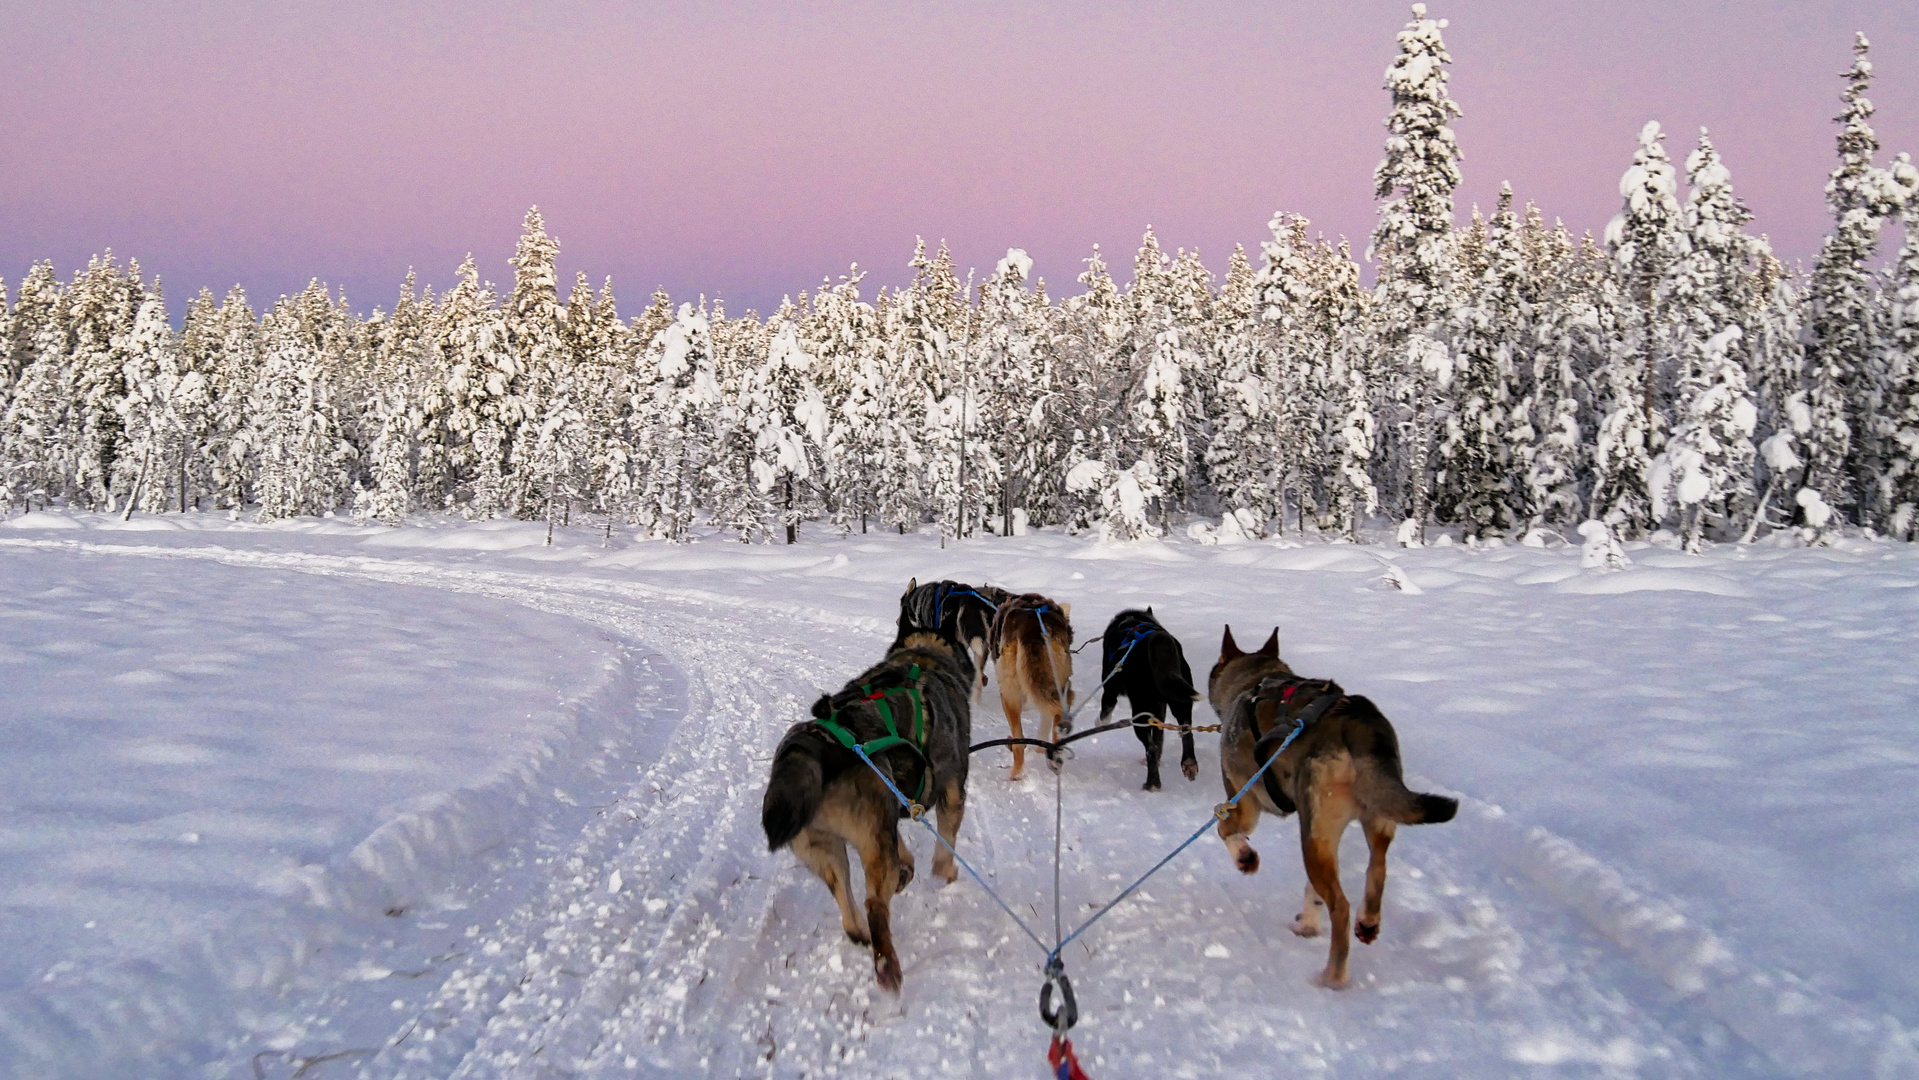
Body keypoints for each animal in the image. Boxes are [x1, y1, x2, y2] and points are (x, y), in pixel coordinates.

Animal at [759, 606, 974, 989]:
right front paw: (944, 873)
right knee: (875, 903)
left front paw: (909, 869)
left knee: (845, 899)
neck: (924, 657)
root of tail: (816, 742)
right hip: (872, 845)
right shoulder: (952, 791)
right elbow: (944, 849)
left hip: (829, 849)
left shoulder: (893, 808)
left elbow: (906, 850)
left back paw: (861, 930)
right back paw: (887, 965)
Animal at [1097, 610, 1197, 794]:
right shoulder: (1159, 710)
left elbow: (1105, 712)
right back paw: (1189, 763)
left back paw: (1152, 783)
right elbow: (1159, 738)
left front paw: (1100, 724)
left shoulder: (1109, 690)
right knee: (1185, 732)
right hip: (1181, 700)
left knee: (1150, 749)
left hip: (1139, 712)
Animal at [1205, 625, 1458, 989]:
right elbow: (1314, 891)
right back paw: (1367, 922)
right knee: (1376, 869)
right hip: (1361, 821)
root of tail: (1356, 721)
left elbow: (1225, 828)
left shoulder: (1246, 801)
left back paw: (1333, 976)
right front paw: (1308, 924)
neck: (1255, 681)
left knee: (1340, 906)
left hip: (1313, 835)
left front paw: (1246, 858)